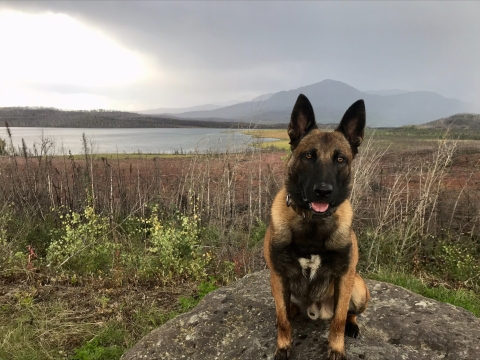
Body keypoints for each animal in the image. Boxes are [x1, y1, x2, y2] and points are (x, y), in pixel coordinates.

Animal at [262, 94, 372, 358]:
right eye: (308, 156)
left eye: (340, 159)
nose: (323, 191)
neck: (312, 224)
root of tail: (316, 310)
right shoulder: (278, 276)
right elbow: (282, 320)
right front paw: (283, 347)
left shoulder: (344, 275)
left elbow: (338, 321)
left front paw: (336, 349)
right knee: (287, 312)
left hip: (358, 289)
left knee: (348, 313)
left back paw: (352, 326)